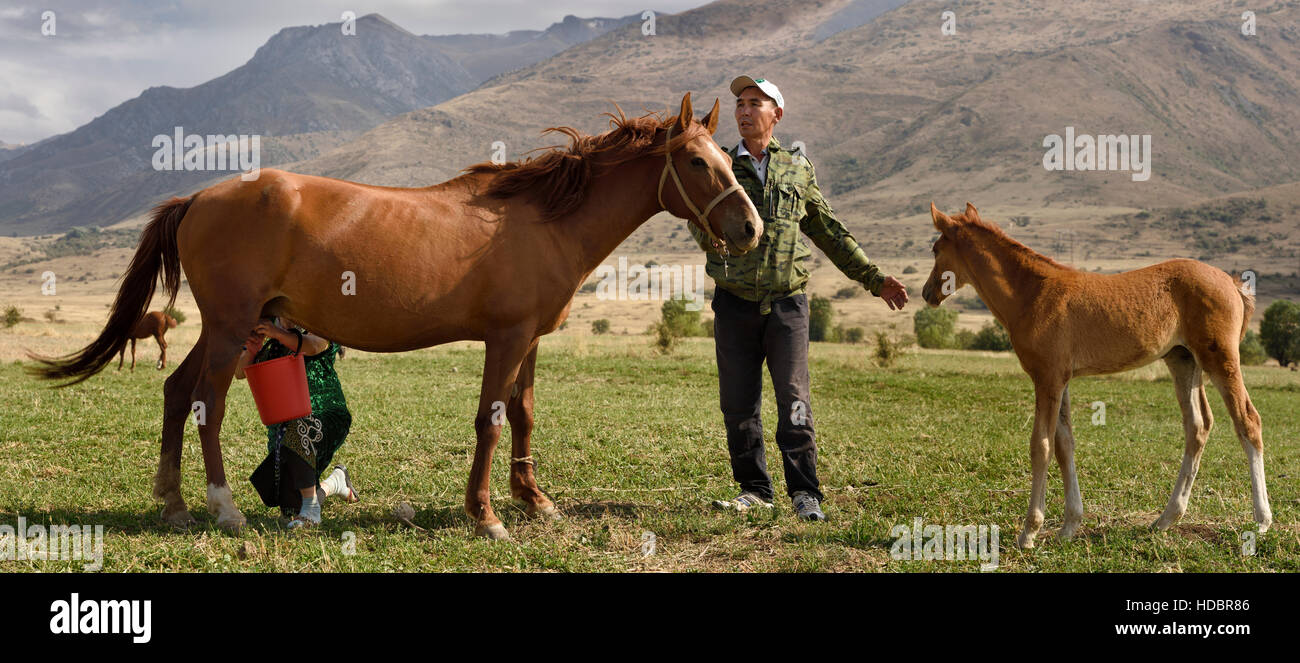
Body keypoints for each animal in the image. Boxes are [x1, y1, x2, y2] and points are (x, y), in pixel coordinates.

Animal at [27, 94, 759, 538]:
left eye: (728, 157)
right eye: (700, 162)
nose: (750, 227)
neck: (542, 219)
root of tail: (199, 196)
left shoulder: (531, 341)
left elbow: (523, 415)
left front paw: (535, 500)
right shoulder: (505, 339)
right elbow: (491, 422)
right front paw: (486, 515)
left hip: (218, 327)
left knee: (178, 393)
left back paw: (176, 503)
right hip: (232, 327)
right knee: (208, 401)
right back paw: (223, 505)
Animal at [925, 201, 1268, 548]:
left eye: (936, 249)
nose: (927, 293)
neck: (1032, 293)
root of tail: (1232, 284)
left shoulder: (1046, 377)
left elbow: (1041, 445)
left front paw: (1029, 531)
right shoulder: (1061, 379)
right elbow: (1064, 444)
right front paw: (1069, 526)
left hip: (1220, 358)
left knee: (1248, 421)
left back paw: (1262, 520)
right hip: (1183, 360)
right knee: (1198, 426)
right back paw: (1165, 519)